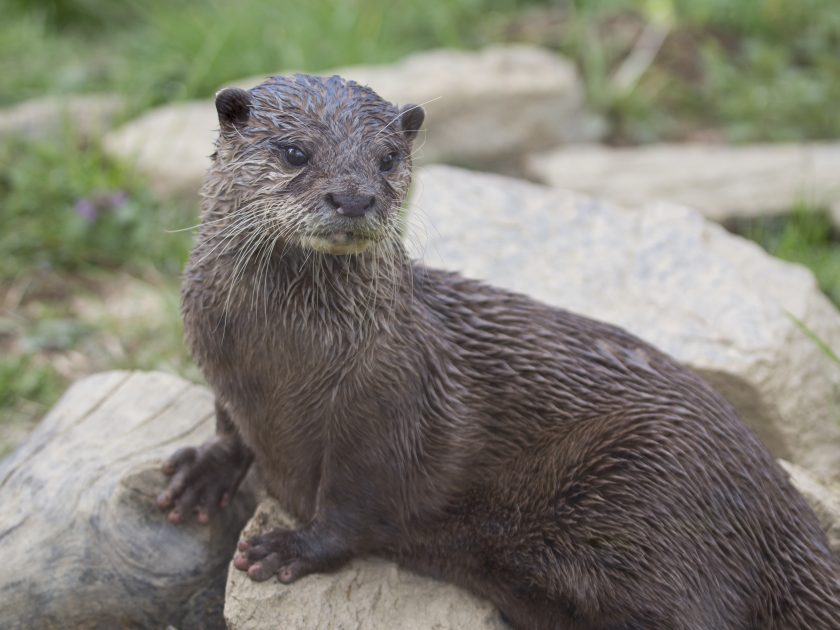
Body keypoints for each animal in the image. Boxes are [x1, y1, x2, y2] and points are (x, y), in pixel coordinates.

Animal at [158, 75, 840, 630]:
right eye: (294, 151)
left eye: (387, 159)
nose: (353, 197)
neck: (278, 359)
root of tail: (779, 506)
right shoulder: (219, 364)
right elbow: (229, 426)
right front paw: (201, 473)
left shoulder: (390, 402)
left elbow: (356, 502)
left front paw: (291, 548)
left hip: (659, 487)